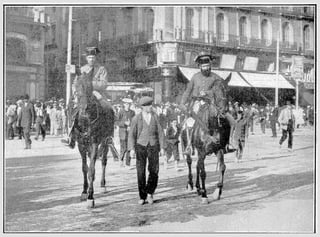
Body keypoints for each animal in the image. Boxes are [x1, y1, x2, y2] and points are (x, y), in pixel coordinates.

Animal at [72, 70, 114, 207]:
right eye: (77, 86)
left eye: (90, 87)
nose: (84, 108)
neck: (86, 120)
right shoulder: (81, 145)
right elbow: (85, 168)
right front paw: (84, 192)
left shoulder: (95, 143)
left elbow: (91, 169)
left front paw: (91, 197)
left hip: (106, 141)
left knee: (103, 161)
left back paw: (103, 183)